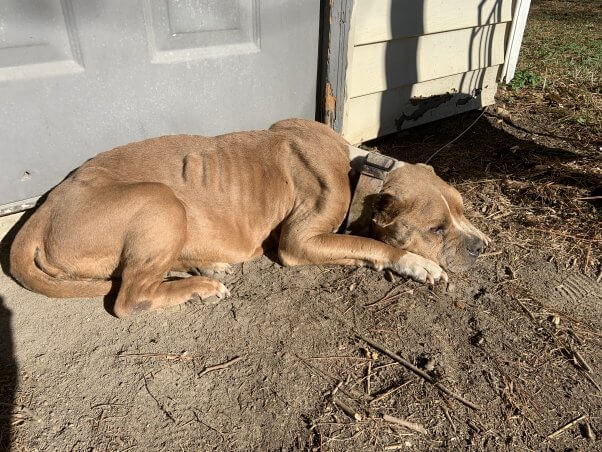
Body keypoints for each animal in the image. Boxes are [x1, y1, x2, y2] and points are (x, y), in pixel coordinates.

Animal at [10, 119, 488, 317]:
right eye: (436, 230)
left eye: (464, 209)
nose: (481, 246)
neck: (362, 170)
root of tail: (45, 207)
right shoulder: (299, 243)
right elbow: (372, 243)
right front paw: (419, 264)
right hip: (161, 201)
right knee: (130, 299)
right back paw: (198, 287)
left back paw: (203, 266)